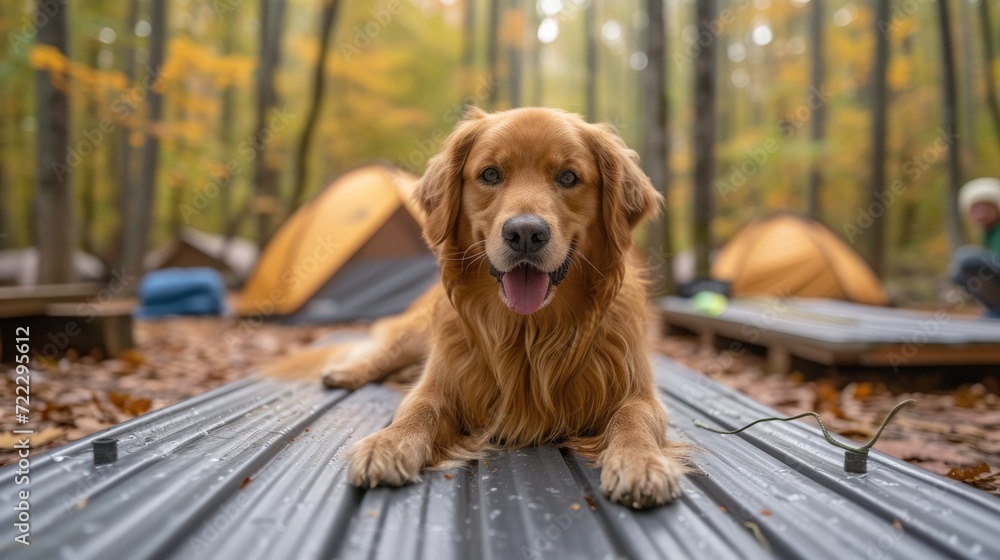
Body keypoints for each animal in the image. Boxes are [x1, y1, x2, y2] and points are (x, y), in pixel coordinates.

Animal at [304, 107, 684, 510]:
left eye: (568, 177)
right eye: (490, 174)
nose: (526, 234)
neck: (528, 331)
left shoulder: (638, 391)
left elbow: (633, 419)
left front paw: (640, 461)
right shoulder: (441, 379)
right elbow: (418, 408)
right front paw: (388, 442)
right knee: (383, 354)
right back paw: (345, 372)